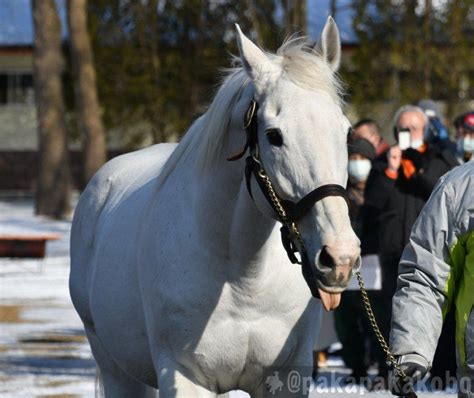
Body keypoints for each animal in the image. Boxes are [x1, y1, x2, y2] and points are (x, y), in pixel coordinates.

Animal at [69, 18, 360, 398]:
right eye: (274, 135)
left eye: (346, 132)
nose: (340, 258)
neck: (243, 276)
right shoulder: (183, 375)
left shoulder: (286, 376)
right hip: (117, 368)